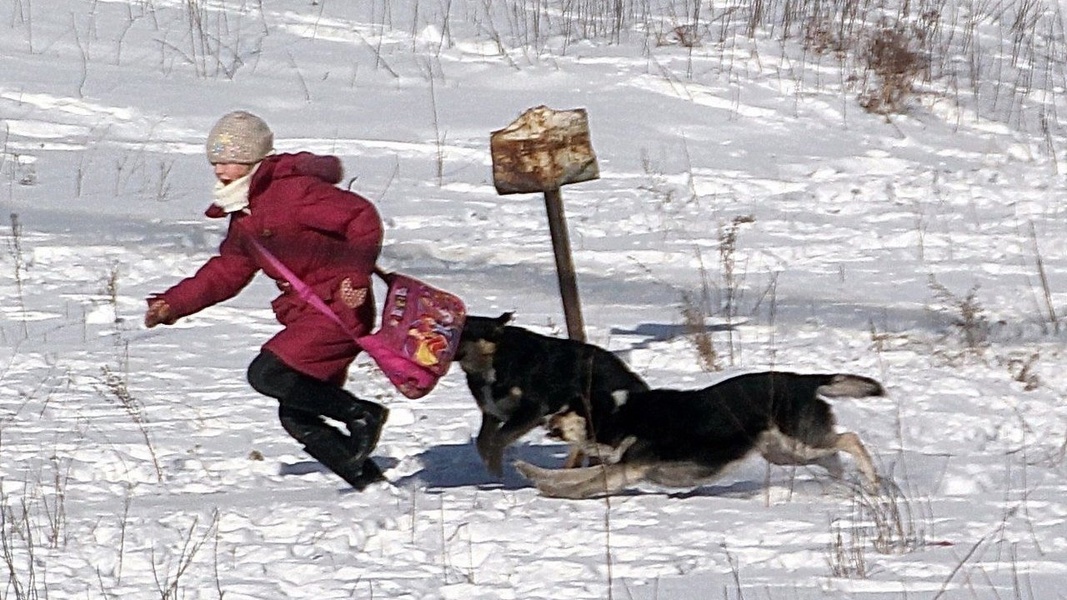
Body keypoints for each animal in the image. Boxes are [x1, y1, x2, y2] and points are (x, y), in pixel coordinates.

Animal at [454, 313, 644, 476]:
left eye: (465, 333)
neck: (495, 359)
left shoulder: (532, 410)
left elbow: (498, 438)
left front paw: (497, 473)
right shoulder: (492, 412)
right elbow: (483, 441)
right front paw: (493, 470)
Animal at [516, 369, 883, 495]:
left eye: (567, 410)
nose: (545, 421)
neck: (621, 415)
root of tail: (806, 380)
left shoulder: (629, 468)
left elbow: (583, 483)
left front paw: (556, 494)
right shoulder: (622, 464)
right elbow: (566, 475)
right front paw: (532, 474)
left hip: (798, 443)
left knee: (850, 440)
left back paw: (872, 482)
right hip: (783, 453)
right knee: (834, 456)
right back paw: (840, 486)